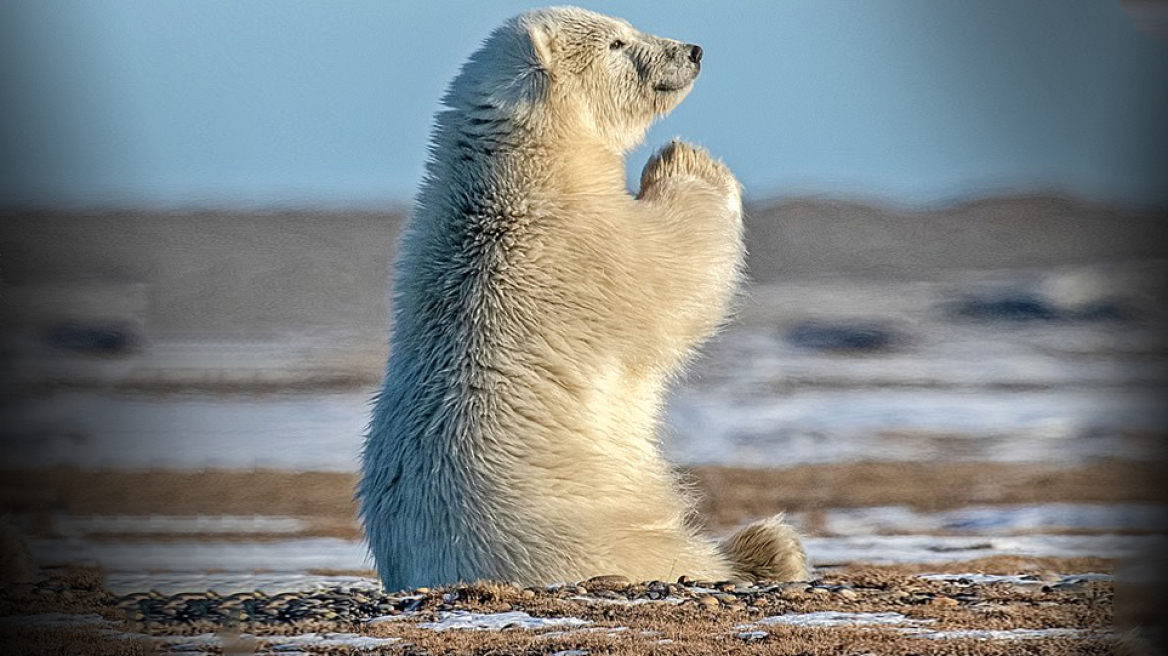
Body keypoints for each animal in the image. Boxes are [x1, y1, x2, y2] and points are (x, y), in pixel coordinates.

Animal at [359, 3, 808, 588]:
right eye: (616, 42)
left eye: (626, 26)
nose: (692, 50)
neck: (525, 168)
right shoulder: (582, 246)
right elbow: (676, 269)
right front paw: (685, 159)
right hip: (587, 535)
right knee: (673, 557)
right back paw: (768, 548)